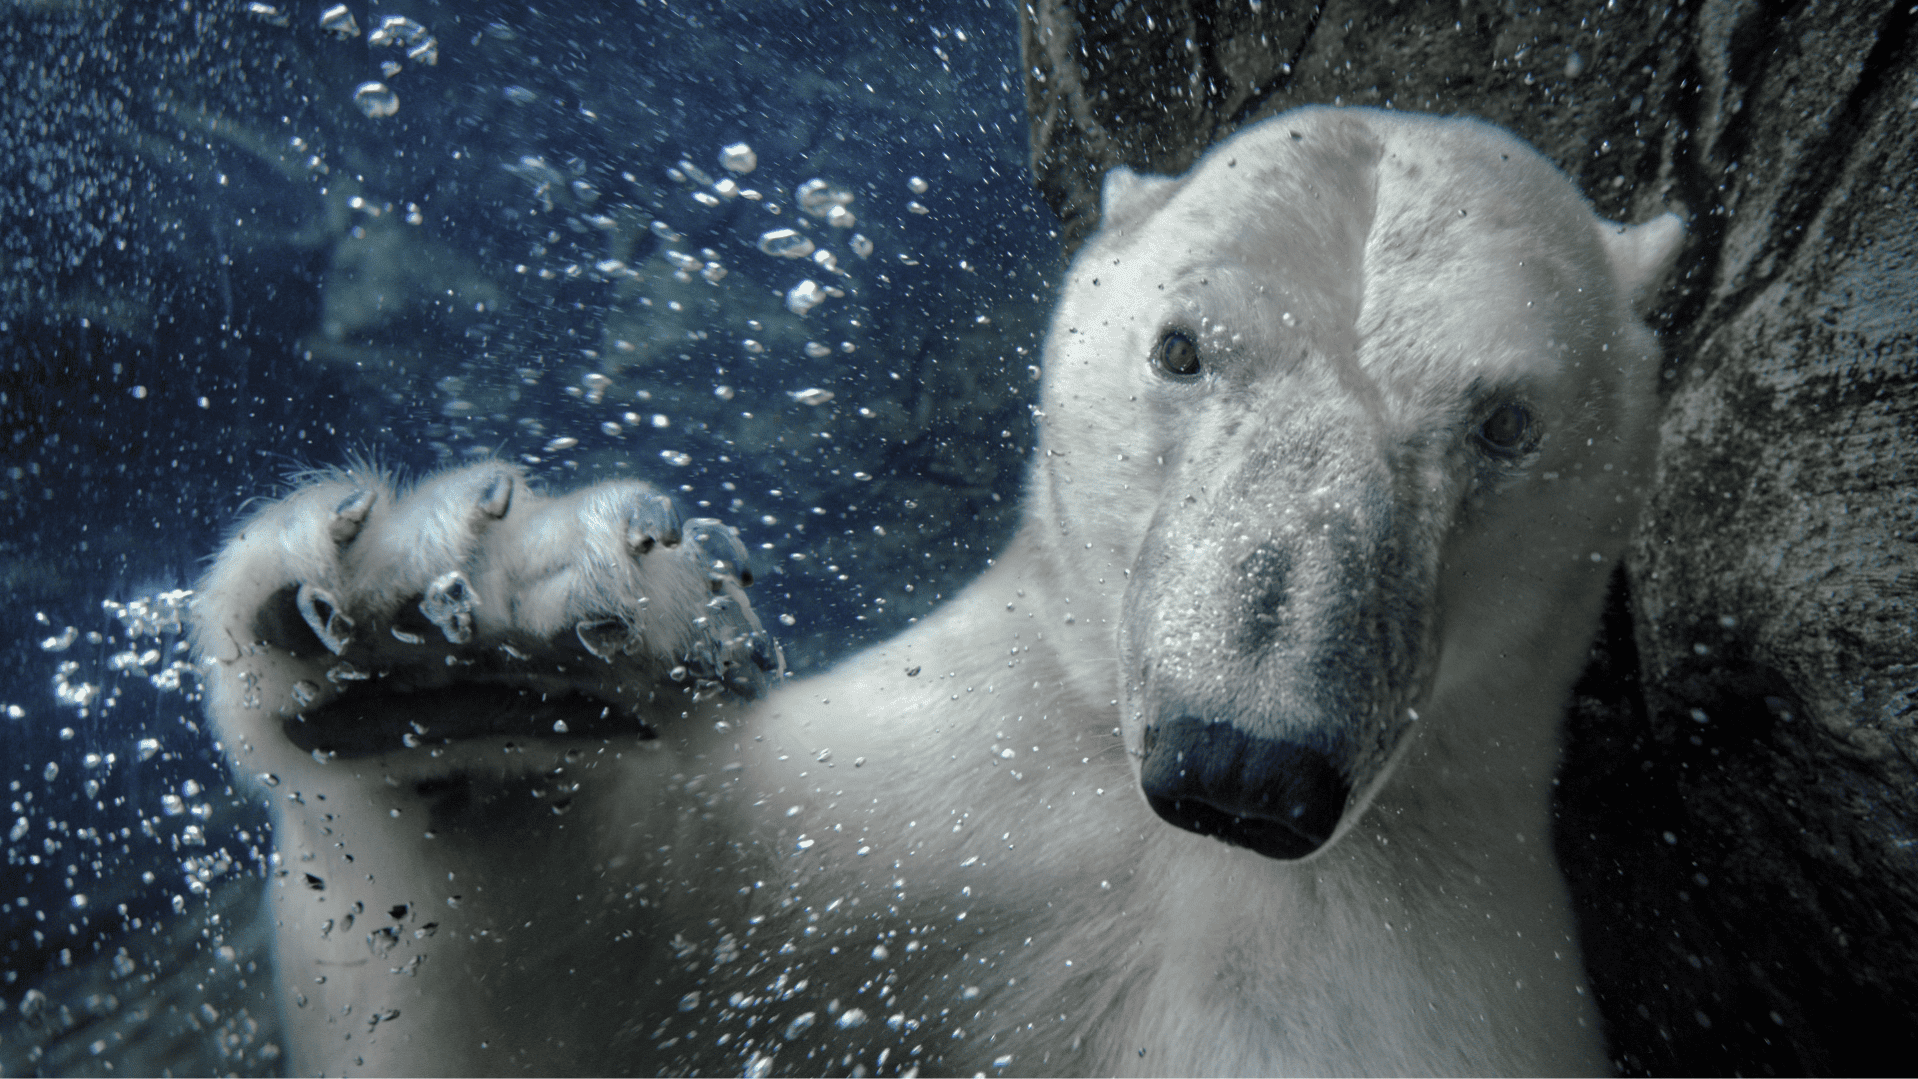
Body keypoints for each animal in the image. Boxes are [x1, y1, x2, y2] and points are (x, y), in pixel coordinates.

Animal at [192, 106, 1683, 1076]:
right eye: (1181, 348)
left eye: (1505, 421)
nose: (1238, 766)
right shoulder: (920, 816)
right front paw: (467, 629)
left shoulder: (1417, 975)